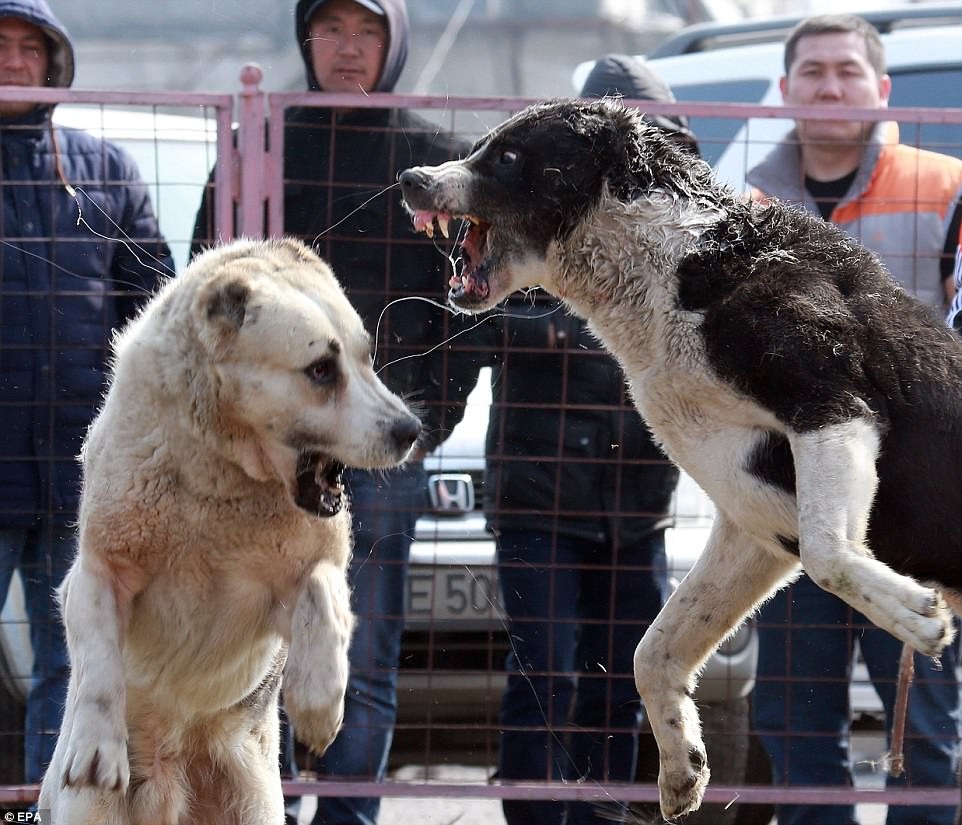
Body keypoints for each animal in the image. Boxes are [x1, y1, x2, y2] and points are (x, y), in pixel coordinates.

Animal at [37, 237, 420, 824]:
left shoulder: (293, 588)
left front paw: (318, 701)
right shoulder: (97, 573)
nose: (409, 430)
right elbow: (99, 660)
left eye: (366, 359)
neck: (220, 479)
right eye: (320, 370)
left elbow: (324, 595)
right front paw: (99, 746)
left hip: (254, 800)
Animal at [402, 100, 960, 820]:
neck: (674, 264)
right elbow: (655, 649)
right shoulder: (750, 521)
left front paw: (916, 614)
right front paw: (680, 765)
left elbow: (830, 554)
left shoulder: (833, 403)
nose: (412, 178)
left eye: (508, 157)